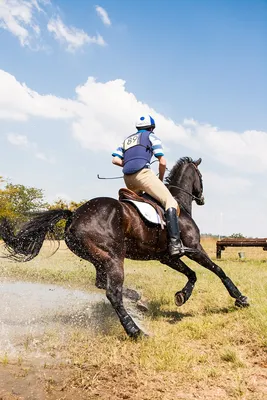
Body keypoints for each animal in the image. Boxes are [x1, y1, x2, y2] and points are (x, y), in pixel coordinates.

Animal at [0, 156, 250, 338]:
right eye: (201, 177)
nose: (202, 198)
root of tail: (74, 216)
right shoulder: (195, 248)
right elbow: (218, 270)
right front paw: (240, 298)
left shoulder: (168, 257)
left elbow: (192, 274)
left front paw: (182, 296)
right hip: (113, 258)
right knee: (113, 293)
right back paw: (135, 331)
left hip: (100, 258)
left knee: (103, 283)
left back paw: (137, 300)